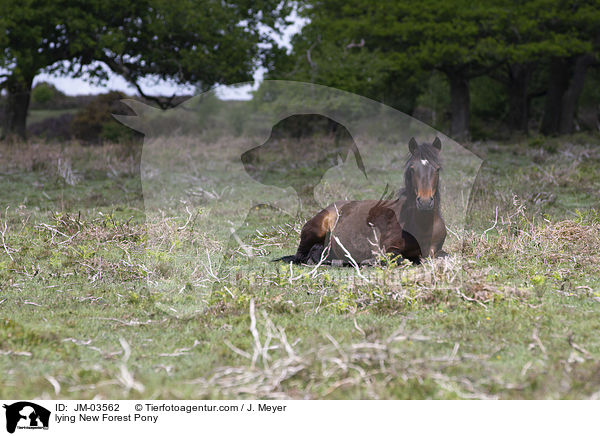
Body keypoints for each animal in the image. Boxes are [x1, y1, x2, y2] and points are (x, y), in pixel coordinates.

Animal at [276, 137, 446, 266]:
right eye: (412, 169)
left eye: (437, 169)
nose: (425, 202)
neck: (422, 226)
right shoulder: (389, 249)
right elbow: (402, 260)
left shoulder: (437, 250)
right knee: (301, 255)